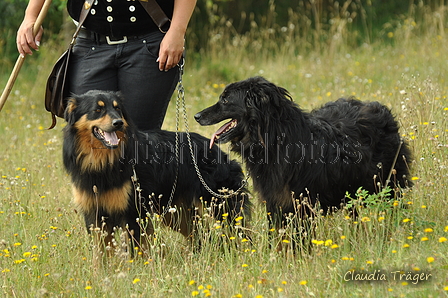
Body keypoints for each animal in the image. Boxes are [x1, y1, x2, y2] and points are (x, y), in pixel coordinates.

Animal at [62, 90, 252, 251]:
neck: (104, 160)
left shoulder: (133, 212)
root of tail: (219, 152)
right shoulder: (94, 215)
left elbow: (134, 250)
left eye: (118, 109)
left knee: (239, 232)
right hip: (178, 214)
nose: (119, 123)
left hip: (221, 206)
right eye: (97, 109)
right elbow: (100, 254)